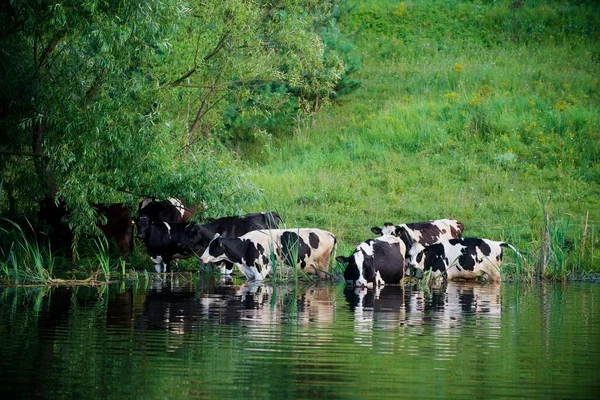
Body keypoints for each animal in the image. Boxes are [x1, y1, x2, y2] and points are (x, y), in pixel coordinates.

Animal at [198, 228, 336, 282]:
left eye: (212, 246)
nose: (201, 258)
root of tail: (330, 234)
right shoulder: (250, 273)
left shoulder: (260, 272)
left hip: (323, 267)